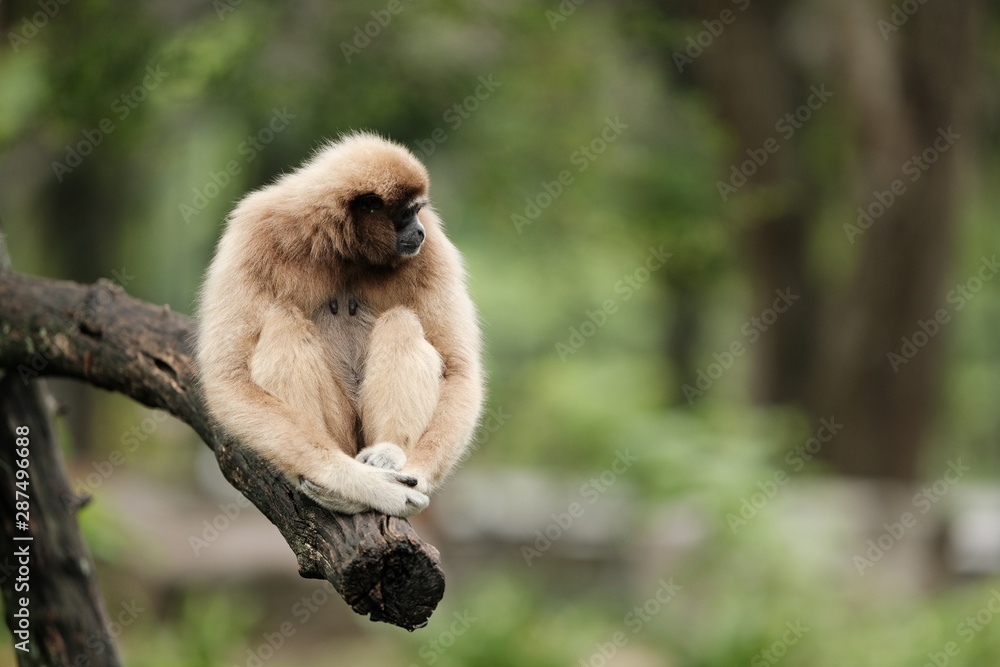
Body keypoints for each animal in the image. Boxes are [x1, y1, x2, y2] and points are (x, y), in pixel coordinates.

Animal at [196, 132, 483, 517]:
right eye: (407, 213)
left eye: (418, 212)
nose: (418, 230)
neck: (343, 249)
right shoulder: (252, 234)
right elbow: (228, 378)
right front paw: (356, 483)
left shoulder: (433, 250)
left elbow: (459, 370)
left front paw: (413, 477)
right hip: (340, 433)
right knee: (283, 323)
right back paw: (334, 490)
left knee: (401, 323)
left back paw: (390, 452)